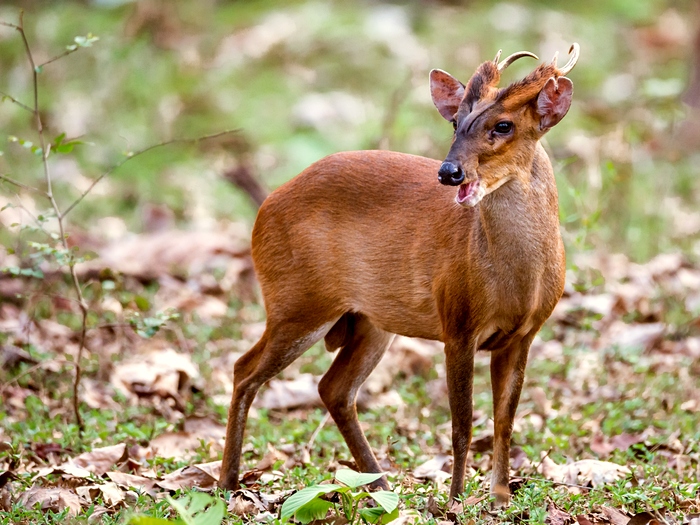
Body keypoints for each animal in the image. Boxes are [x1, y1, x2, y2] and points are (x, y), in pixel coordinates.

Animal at [223, 43, 580, 502]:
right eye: (455, 122)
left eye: (503, 125)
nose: (449, 172)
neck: (517, 282)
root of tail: (264, 208)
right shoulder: (457, 322)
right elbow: (462, 425)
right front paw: (454, 500)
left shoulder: (523, 335)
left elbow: (504, 421)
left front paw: (500, 498)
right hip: (297, 301)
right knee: (244, 370)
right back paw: (228, 482)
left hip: (367, 320)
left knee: (333, 388)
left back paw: (378, 484)